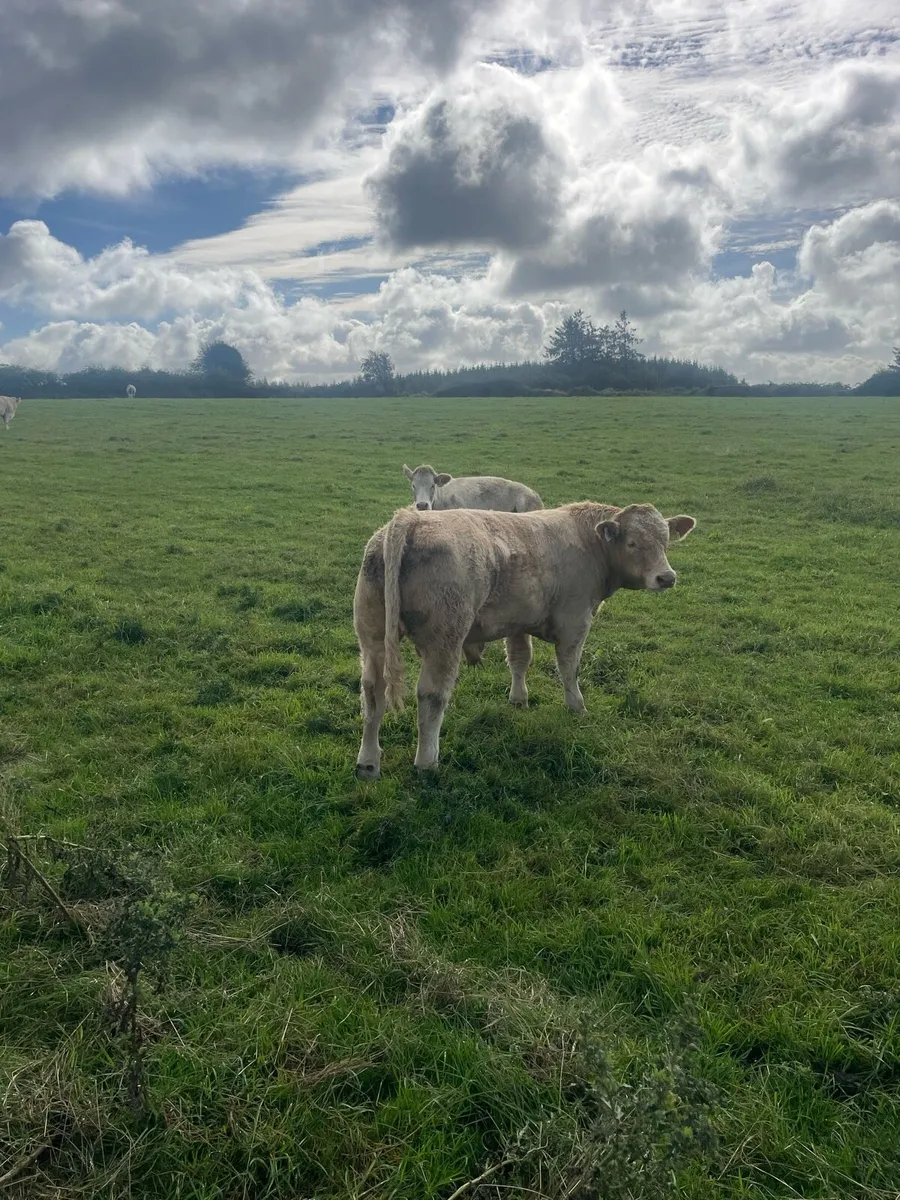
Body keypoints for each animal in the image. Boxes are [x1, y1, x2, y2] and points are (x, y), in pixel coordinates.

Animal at [353, 502, 696, 779]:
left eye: (665, 542)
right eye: (633, 542)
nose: (666, 577)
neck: (589, 543)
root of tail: (410, 519)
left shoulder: (517, 621)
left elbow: (520, 659)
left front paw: (519, 699)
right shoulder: (575, 622)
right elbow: (569, 668)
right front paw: (576, 706)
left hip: (372, 639)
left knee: (373, 693)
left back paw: (368, 763)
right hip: (444, 641)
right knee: (431, 695)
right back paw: (427, 761)